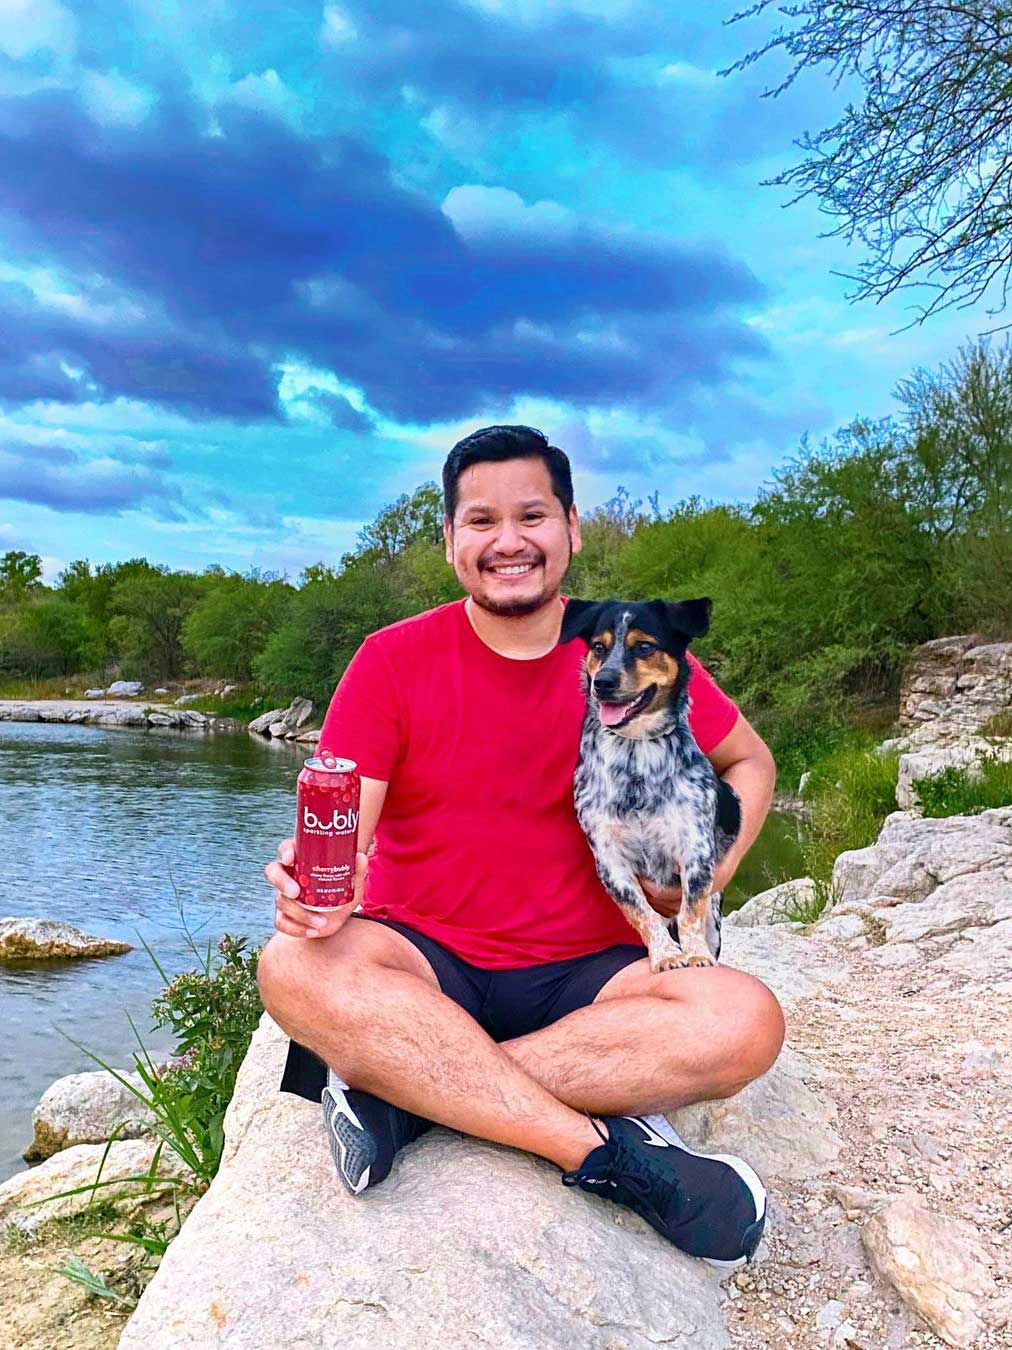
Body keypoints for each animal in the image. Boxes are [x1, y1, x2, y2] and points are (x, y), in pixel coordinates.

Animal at [558, 594, 739, 972]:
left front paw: (695, 954)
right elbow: (642, 912)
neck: (635, 752)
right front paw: (666, 955)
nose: (603, 682)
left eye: (644, 646)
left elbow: (689, 910)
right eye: (599, 647)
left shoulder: (696, 850)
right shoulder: (609, 858)